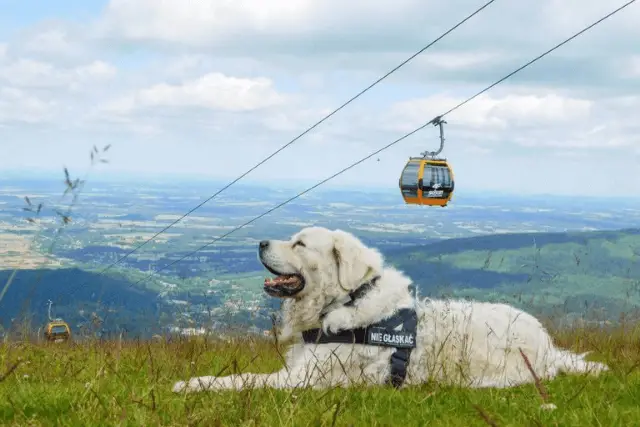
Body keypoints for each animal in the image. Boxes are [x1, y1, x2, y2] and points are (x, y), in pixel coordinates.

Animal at [171, 227, 608, 394]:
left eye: (299, 244)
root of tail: (549, 346)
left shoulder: (299, 381)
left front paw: (192, 384)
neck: (343, 302)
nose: (260, 242)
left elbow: (241, 379)